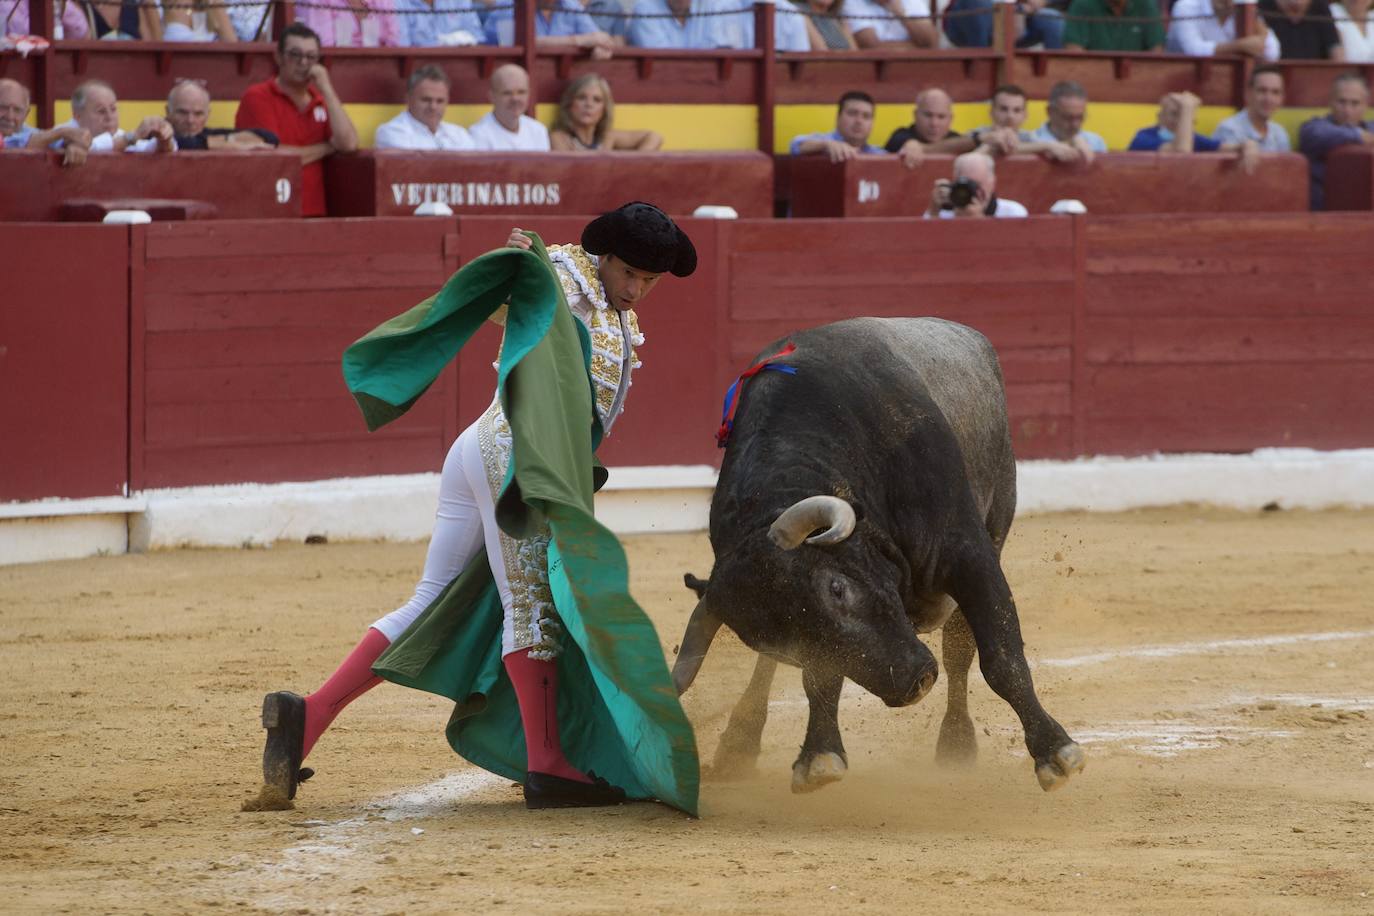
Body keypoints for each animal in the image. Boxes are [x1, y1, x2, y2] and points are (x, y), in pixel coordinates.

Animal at [673, 318, 1082, 791]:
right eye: (786, 644)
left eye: (837, 588)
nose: (913, 683)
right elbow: (818, 677)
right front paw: (820, 754)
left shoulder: (970, 555)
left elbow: (1001, 658)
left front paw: (1055, 752)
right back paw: (738, 743)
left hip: (996, 524)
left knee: (959, 652)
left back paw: (957, 744)